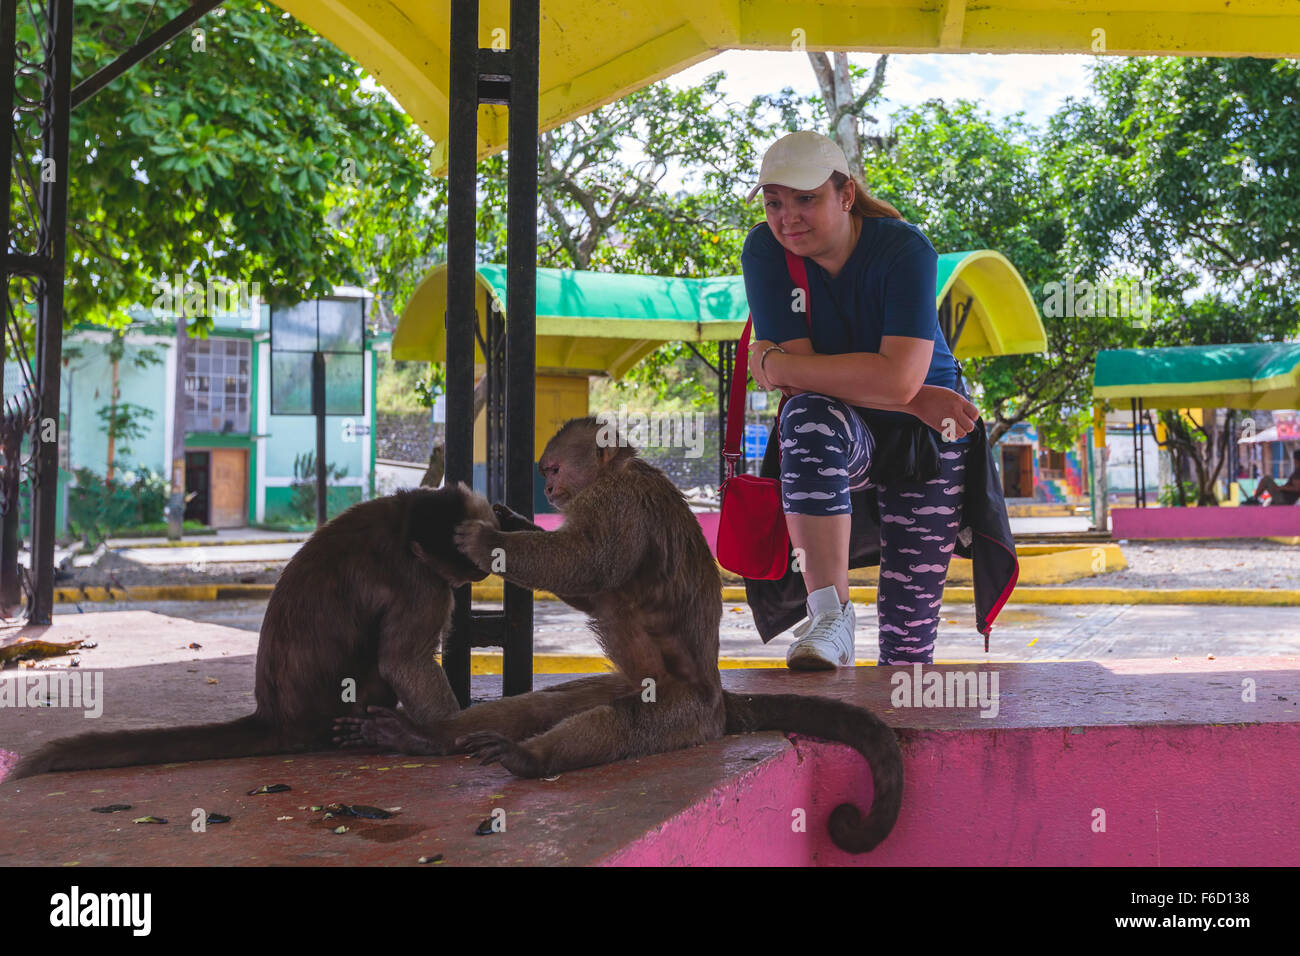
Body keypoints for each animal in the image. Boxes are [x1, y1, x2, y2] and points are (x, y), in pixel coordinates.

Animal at [7, 481, 493, 780]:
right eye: (467, 565)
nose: (482, 573)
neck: (404, 517)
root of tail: (276, 716)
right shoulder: (423, 582)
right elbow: (402, 661)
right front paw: (439, 740)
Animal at [335, 416, 904, 853]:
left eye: (554, 470)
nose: (549, 490)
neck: (623, 470)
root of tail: (719, 694)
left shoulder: (616, 502)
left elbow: (589, 565)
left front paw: (488, 539)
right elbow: (590, 589)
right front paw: (513, 521)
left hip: (691, 716)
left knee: (624, 722)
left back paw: (532, 759)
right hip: (629, 685)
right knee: (541, 707)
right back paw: (428, 739)